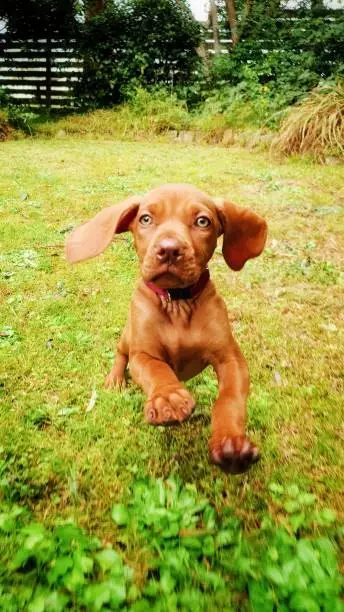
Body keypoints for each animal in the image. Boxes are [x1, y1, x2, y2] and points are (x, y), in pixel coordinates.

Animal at [66, 182, 268, 474]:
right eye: (145, 219)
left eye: (203, 221)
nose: (169, 249)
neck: (177, 302)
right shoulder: (143, 355)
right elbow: (156, 369)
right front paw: (168, 399)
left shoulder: (230, 358)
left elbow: (230, 398)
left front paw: (231, 442)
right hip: (128, 334)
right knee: (120, 352)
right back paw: (115, 379)